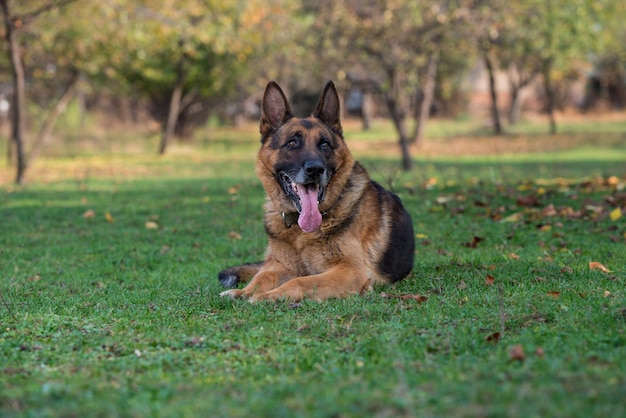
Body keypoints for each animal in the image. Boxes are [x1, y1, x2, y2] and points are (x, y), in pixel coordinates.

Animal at [219, 80, 414, 302]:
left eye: (325, 144)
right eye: (292, 143)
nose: (315, 169)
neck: (299, 231)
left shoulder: (350, 272)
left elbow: (300, 281)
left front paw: (267, 296)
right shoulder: (279, 264)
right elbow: (262, 277)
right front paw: (243, 292)